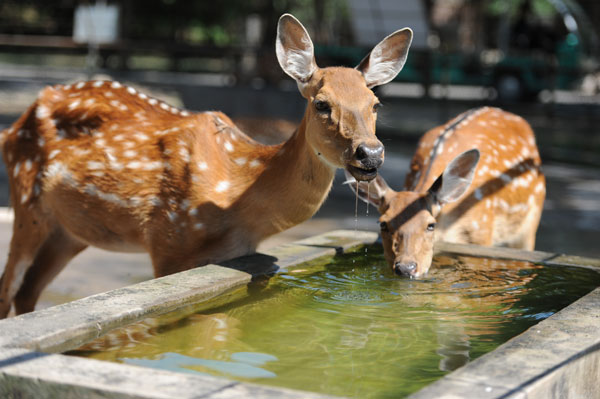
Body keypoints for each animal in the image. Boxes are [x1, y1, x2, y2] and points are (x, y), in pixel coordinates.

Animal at [0, 14, 412, 318]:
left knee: (28, 292)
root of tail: (13, 125)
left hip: (70, 230)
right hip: (26, 198)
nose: (370, 154)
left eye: (375, 104)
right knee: (9, 289)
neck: (237, 194)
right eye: (322, 104)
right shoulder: (168, 242)